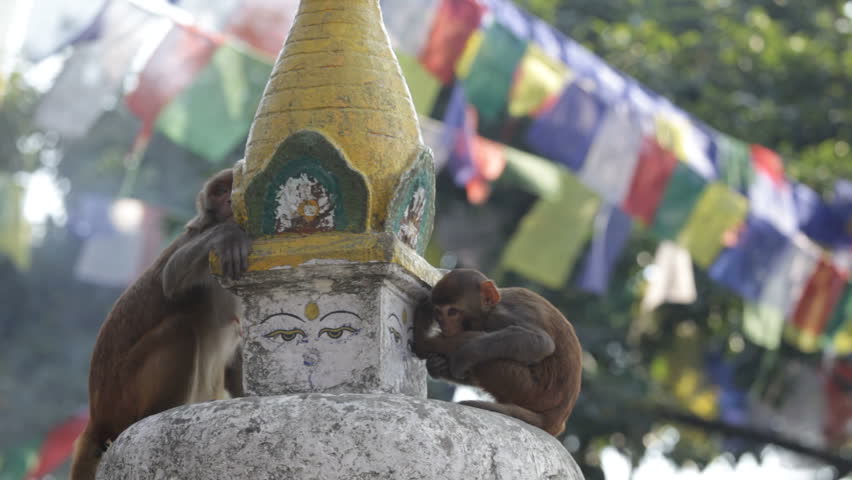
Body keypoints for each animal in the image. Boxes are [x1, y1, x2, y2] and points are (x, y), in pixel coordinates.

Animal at [70, 169, 250, 480]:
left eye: (232, 188)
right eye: (219, 192)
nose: (229, 200)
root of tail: (97, 416)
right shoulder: (202, 249)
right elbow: (171, 278)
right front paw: (226, 234)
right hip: (123, 396)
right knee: (181, 329)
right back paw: (156, 416)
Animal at [413, 269, 582, 436]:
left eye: (452, 312)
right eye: (438, 312)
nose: (444, 326)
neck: (491, 308)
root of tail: (555, 420)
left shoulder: (500, 317)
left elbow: (541, 342)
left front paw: (463, 355)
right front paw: (438, 365)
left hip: (530, 391)